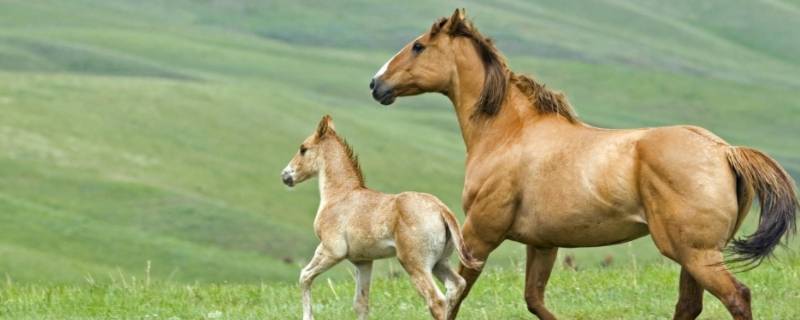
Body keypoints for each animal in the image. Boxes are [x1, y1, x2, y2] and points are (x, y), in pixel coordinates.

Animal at [282, 115, 482, 320]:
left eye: (303, 148)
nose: (286, 176)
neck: (340, 195)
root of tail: (441, 209)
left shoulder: (331, 250)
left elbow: (304, 276)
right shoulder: (363, 262)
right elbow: (361, 304)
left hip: (415, 264)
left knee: (436, 300)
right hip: (440, 263)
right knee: (456, 286)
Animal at [368, 8, 792, 318]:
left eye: (419, 46)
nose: (376, 84)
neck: (508, 133)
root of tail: (724, 150)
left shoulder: (479, 233)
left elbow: (453, 300)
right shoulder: (542, 244)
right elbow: (534, 300)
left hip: (696, 254)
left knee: (737, 296)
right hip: (692, 255)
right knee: (690, 305)